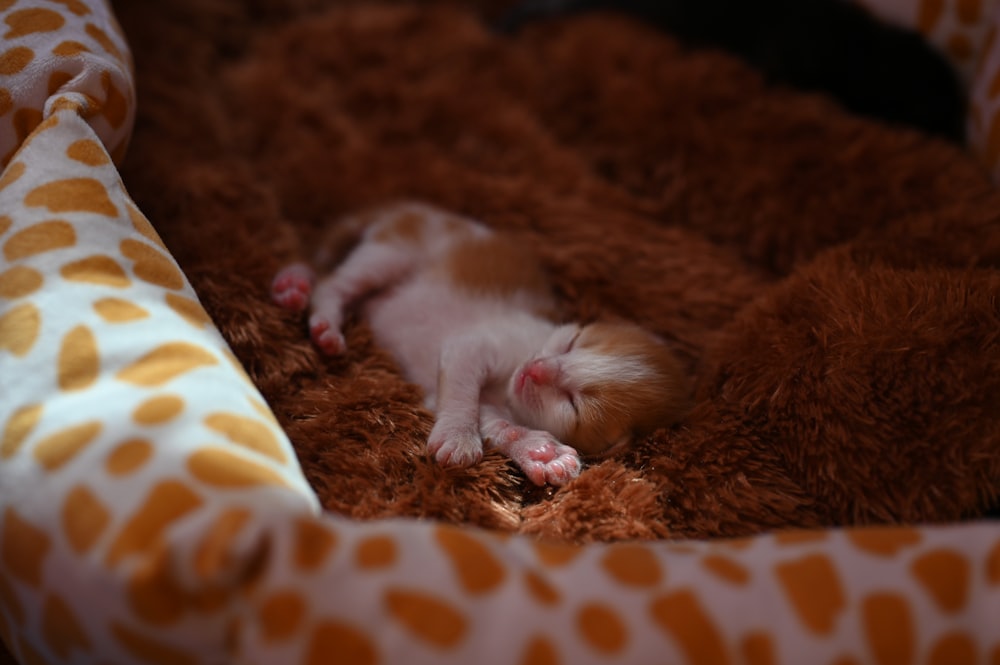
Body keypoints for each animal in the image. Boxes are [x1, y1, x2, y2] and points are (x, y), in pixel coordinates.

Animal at [270, 200, 688, 486]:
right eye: (571, 342)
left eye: (574, 405)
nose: (536, 370)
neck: (511, 386)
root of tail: (410, 207)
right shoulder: (481, 345)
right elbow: (461, 390)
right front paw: (458, 438)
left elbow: (494, 421)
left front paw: (539, 451)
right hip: (393, 250)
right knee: (334, 280)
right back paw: (321, 317)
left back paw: (296, 286)